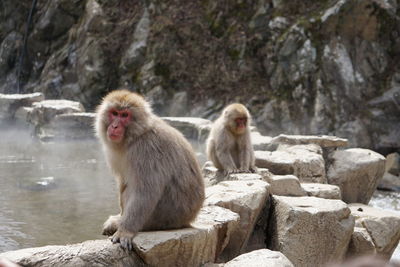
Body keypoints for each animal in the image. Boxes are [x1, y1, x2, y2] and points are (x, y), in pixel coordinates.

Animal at [95, 90, 205, 251]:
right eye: (114, 113)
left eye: (124, 115)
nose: (114, 126)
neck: (135, 136)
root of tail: (188, 219)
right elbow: (124, 182)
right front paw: (120, 219)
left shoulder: (146, 150)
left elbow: (145, 192)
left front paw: (125, 230)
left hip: (162, 218)